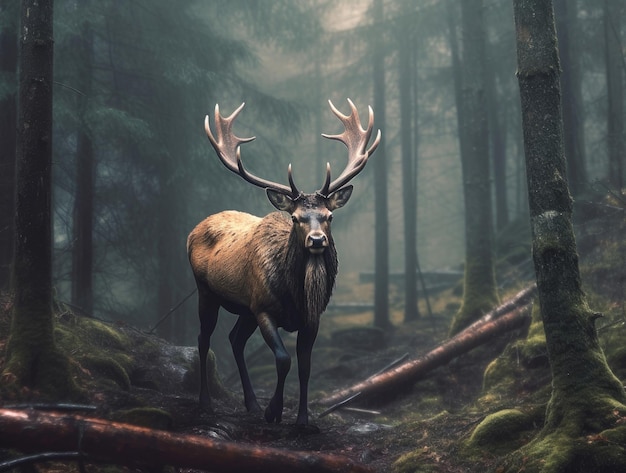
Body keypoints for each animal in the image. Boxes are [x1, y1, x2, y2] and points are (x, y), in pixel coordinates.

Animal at [185, 97, 380, 426]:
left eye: (329, 216)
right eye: (296, 217)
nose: (317, 240)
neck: (296, 295)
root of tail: (192, 230)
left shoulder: (311, 317)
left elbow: (305, 366)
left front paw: (302, 420)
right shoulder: (264, 308)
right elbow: (283, 359)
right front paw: (273, 411)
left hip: (245, 308)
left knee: (234, 339)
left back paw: (250, 403)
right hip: (206, 291)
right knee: (203, 338)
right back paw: (206, 402)